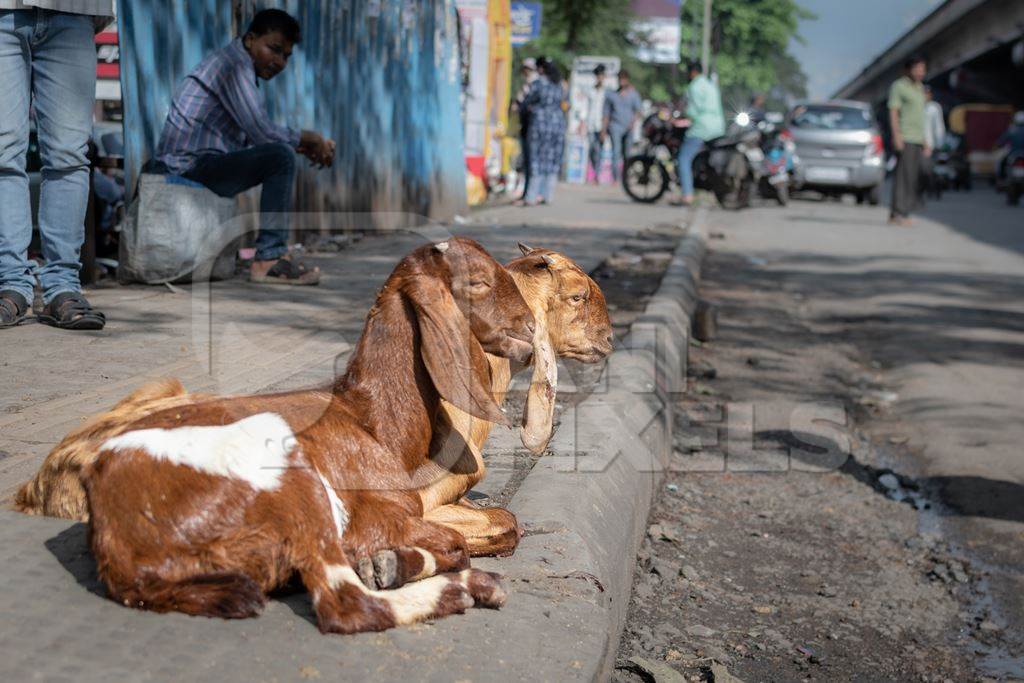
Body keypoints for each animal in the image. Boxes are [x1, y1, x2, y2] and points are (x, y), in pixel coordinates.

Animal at [79, 239, 536, 634]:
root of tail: (120, 549)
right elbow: (457, 541)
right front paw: (385, 563)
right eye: (477, 281)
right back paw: (476, 587)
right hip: (299, 487)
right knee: (345, 605)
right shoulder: (374, 515)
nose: (531, 327)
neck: (375, 424)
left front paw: (387, 562)